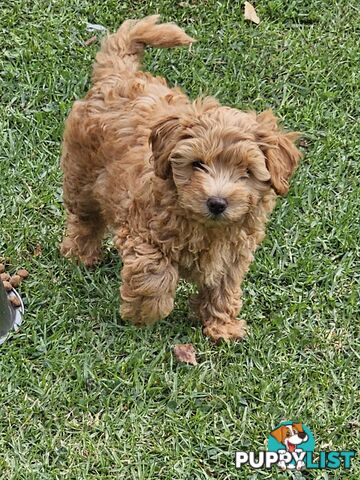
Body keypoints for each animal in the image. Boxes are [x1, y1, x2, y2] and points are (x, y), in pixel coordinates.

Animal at [59, 15, 300, 342]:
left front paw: (221, 325)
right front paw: (145, 313)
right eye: (197, 164)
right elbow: (157, 274)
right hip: (81, 175)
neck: (207, 227)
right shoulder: (143, 232)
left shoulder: (233, 255)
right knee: (85, 220)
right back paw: (80, 254)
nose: (217, 203)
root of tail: (118, 76)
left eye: (246, 172)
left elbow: (223, 288)